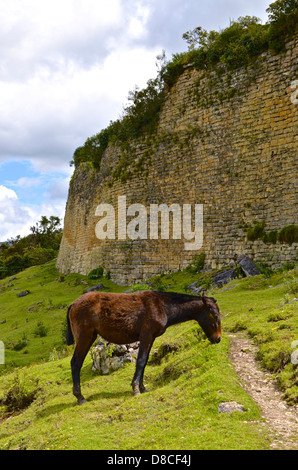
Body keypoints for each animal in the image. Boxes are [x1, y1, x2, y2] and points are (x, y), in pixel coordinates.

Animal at [66, 290, 222, 404]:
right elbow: (140, 361)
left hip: (90, 336)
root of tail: (73, 304)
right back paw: (80, 397)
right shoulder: (146, 335)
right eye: (214, 315)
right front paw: (136, 389)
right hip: (85, 337)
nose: (218, 339)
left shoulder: (151, 338)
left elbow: (145, 361)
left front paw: (142, 387)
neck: (163, 306)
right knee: (76, 363)